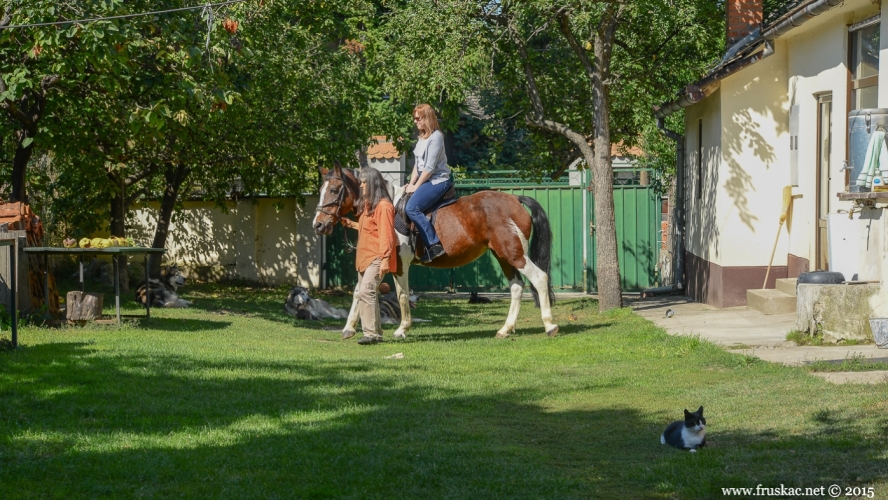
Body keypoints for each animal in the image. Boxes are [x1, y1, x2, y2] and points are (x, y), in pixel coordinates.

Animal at [310, 166, 556, 342]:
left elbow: (401, 295)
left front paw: (402, 329)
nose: (318, 225)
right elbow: (359, 291)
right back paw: (505, 329)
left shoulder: (399, 263)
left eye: (334, 190)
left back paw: (550, 325)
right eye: (320, 192)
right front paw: (348, 329)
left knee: (539, 278)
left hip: (514, 254)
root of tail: (515, 199)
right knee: (517, 286)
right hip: (503, 255)